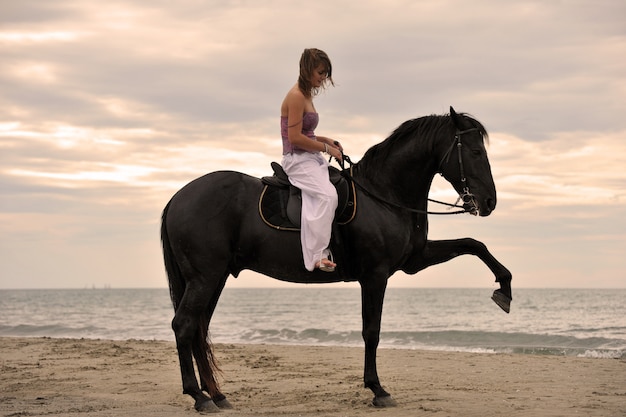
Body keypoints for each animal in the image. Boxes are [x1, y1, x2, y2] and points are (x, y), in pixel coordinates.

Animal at [162, 106, 512, 410]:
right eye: (476, 152)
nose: (489, 201)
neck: (382, 193)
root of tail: (178, 197)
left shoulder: (414, 260)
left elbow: (474, 244)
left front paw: (504, 289)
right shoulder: (375, 275)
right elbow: (372, 331)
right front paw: (377, 389)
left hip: (215, 277)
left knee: (199, 328)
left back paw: (217, 395)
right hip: (205, 277)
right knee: (184, 325)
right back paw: (199, 396)